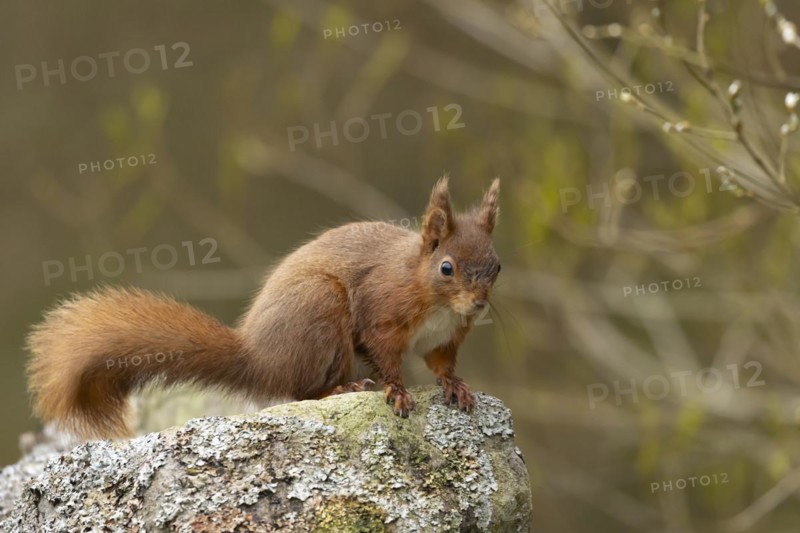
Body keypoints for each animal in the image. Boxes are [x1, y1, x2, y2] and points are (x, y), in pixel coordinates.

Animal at [27, 177, 501, 439]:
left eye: (497, 265)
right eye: (447, 268)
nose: (479, 304)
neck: (437, 303)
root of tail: (260, 358)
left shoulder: (445, 337)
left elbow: (441, 363)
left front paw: (456, 385)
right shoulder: (381, 309)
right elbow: (385, 354)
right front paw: (398, 391)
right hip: (321, 312)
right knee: (301, 390)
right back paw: (342, 389)